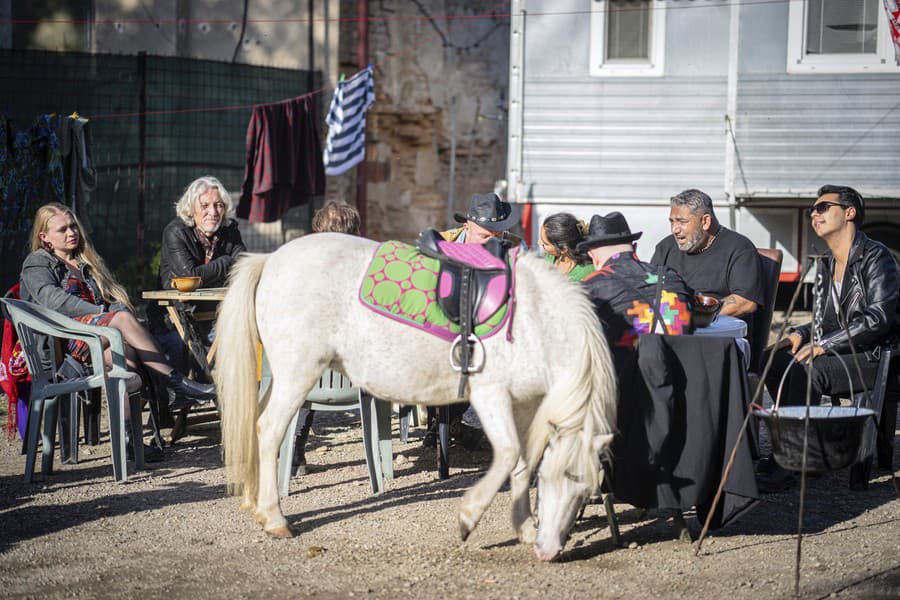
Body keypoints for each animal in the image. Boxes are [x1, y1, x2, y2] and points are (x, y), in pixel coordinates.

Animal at [214, 232, 616, 560]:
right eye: (560, 476)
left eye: (588, 491)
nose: (550, 550)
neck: (534, 318)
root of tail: (270, 260)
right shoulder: (491, 396)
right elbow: (507, 455)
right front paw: (468, 518)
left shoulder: (525, 405)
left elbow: (522, 463)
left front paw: (525, 528)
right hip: (297, 375)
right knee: (270, 429)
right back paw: (274, 517)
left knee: (255, 423)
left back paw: (254, 501)